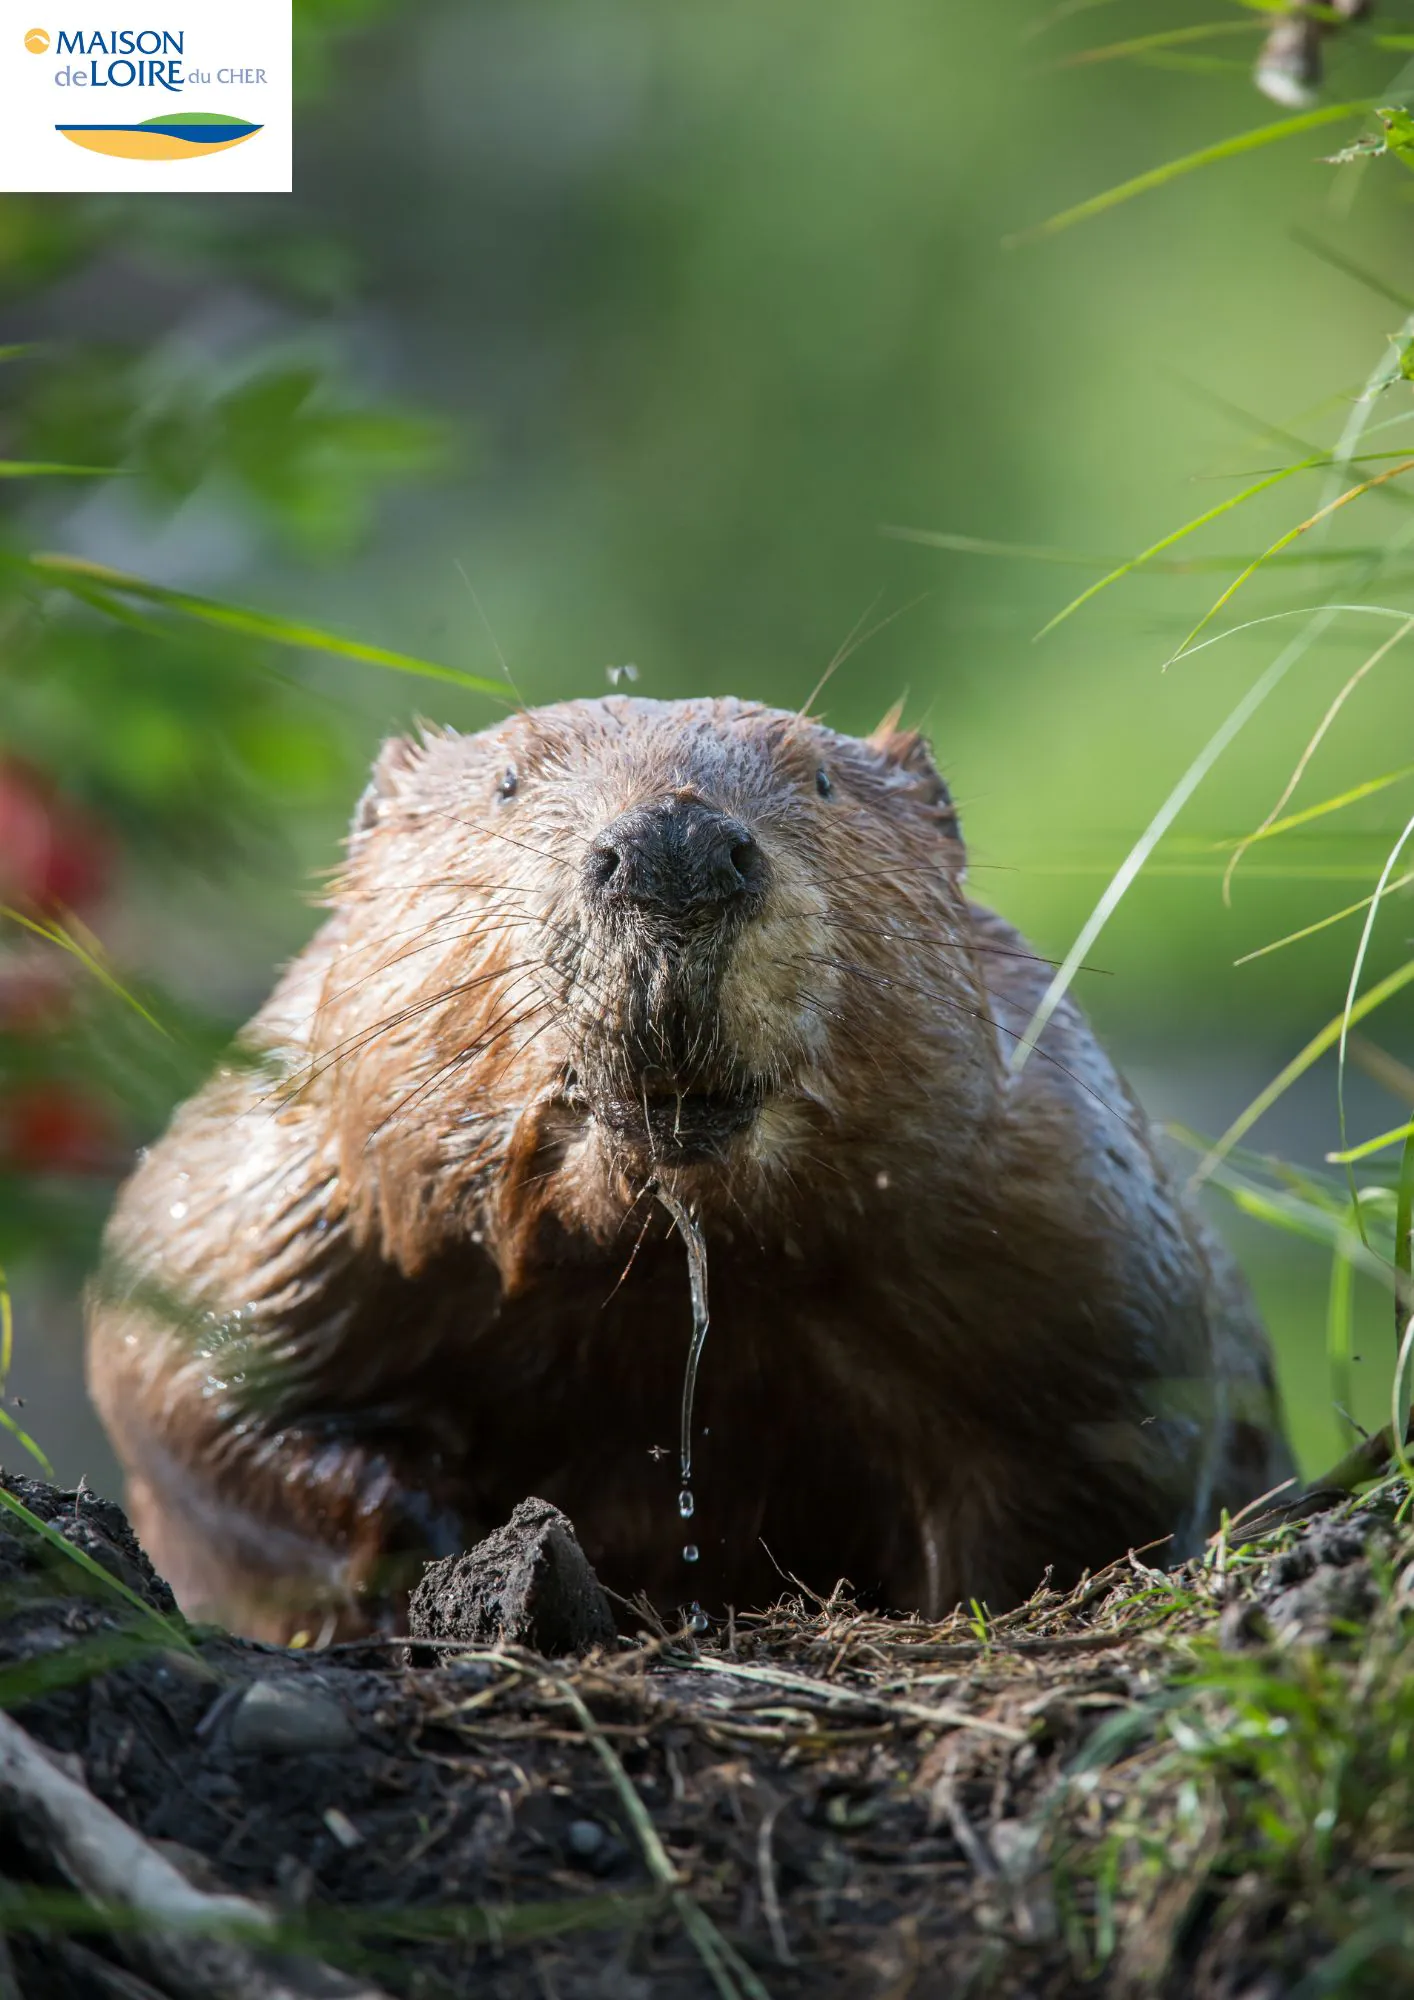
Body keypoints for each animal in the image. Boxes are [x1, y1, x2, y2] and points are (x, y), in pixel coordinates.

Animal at [85, 704, 1296, 1640]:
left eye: (820, 779)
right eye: (508, 782)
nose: (674, 846)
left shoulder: (1069, 1211)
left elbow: (1109, 1440)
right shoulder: (280, 1193)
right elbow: (180, 1380)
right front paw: (435, 1534)